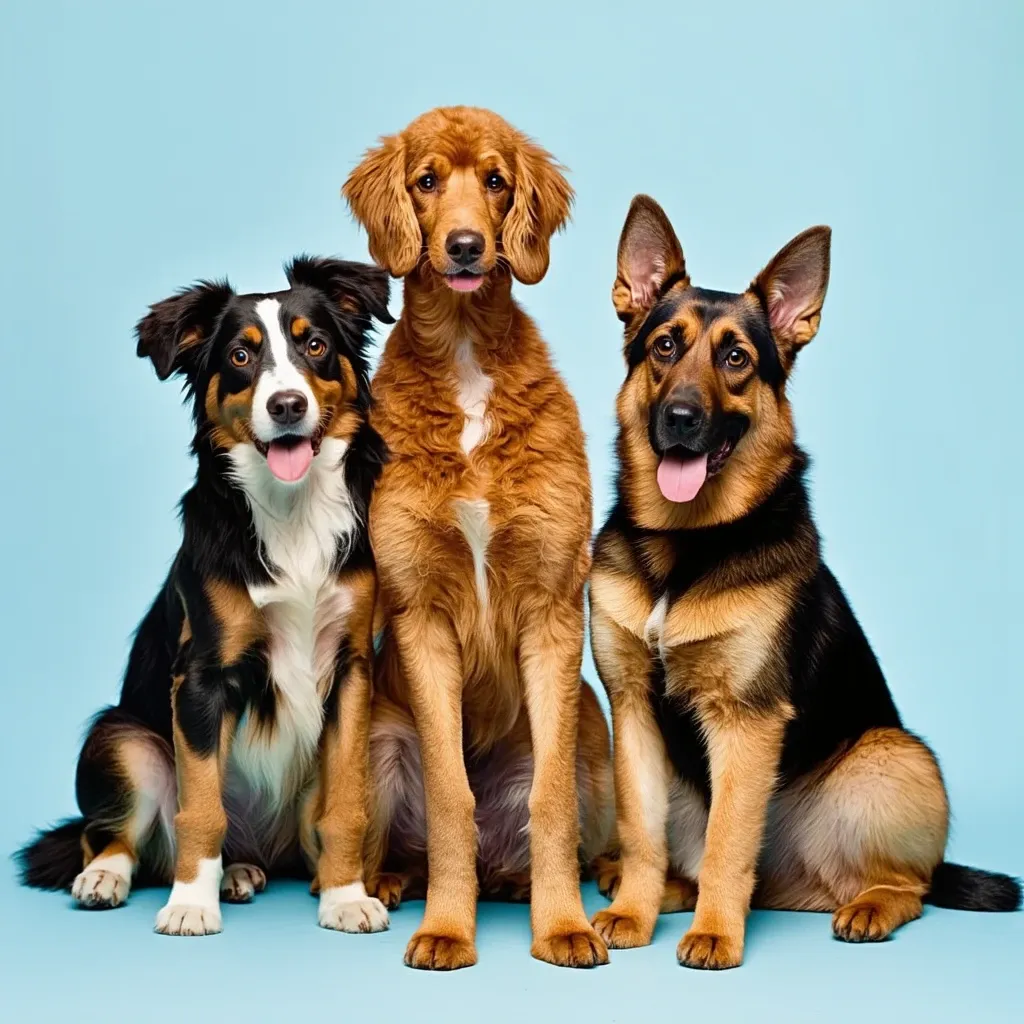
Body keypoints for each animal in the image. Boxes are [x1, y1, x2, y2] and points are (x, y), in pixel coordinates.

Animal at [20, 253, 395, 937]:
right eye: (241, 356)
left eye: (315, 345)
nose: (287, 405)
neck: (290, 511)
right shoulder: (200, 677)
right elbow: (200, 806)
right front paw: (191, 904)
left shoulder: (352, 670)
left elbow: (348, 805)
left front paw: (346, 896)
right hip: (123, 736)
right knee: (110, 835)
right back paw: (108, 877)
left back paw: (252, 873)